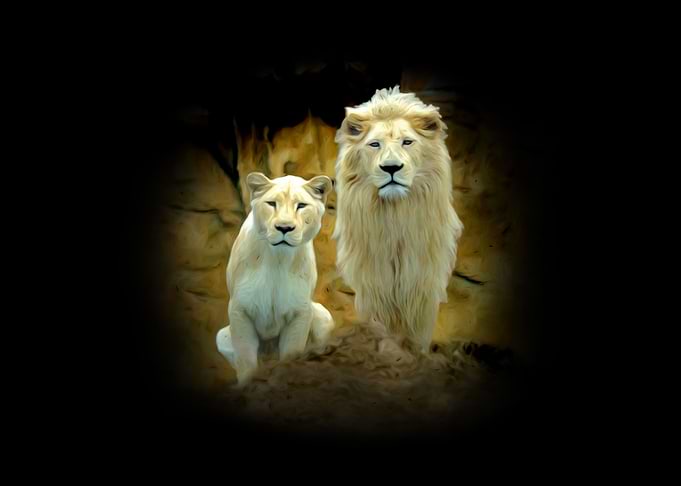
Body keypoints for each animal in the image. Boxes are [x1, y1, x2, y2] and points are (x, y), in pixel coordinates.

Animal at [216, 172, 335, 385]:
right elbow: (246, 359)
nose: (284, 228)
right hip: (221, 335)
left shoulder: (300, 311)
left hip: (323, 315)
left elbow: (291, 354)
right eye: (271, 203)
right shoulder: (240, 309)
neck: (277, 259)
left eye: (301, 205)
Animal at [333, 86, 463, 352]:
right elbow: (380, 321)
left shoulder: (421, 279)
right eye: (374, 144)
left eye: (407, 142)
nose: (391, 167)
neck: (395, 217)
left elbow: (417, 327)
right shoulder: (374, 279)